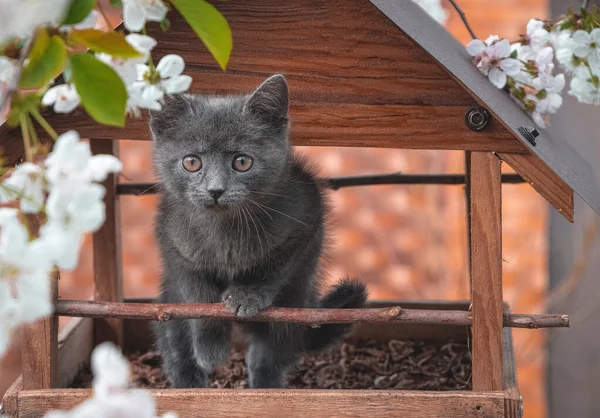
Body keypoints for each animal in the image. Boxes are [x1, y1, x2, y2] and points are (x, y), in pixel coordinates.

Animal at [150, 74, 366, 388]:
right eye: (192, 162)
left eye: (242, 162)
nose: (215, 190)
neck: (224, 232)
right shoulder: (169, 237)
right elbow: (196, 293)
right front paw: (211, 349)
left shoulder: (308, 218)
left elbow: (277, 265)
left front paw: (248, 295)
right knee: (175, 345)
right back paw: (189, 382)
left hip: (294, 306)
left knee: (271, 354)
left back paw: (266, 388)